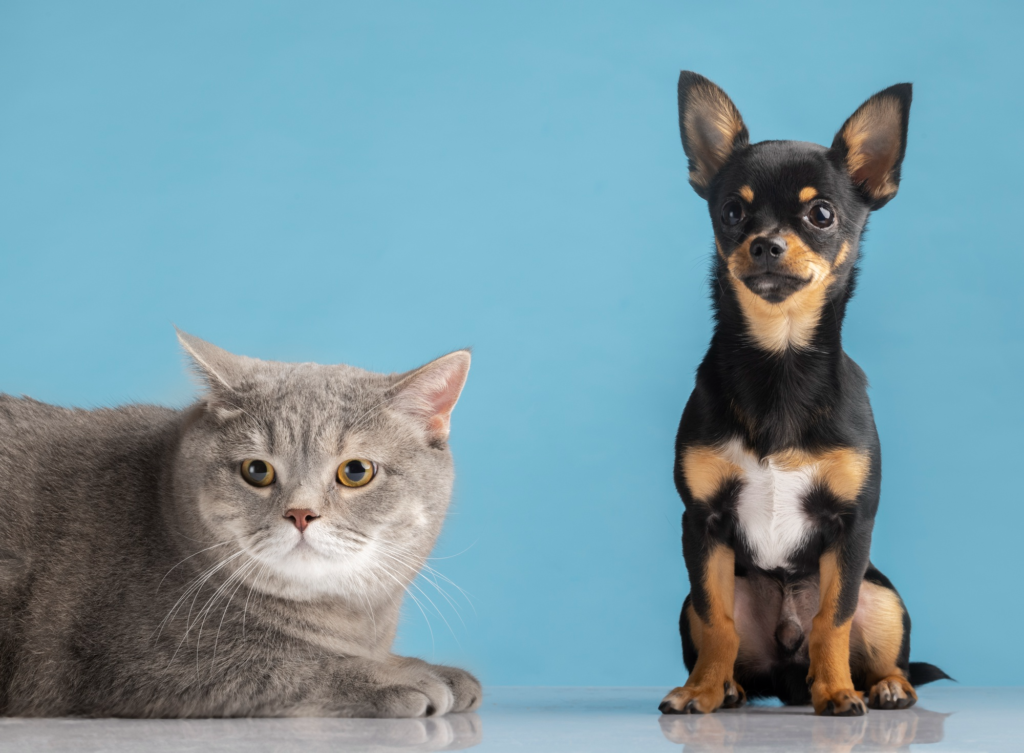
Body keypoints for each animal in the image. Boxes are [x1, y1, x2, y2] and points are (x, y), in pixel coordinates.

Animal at [0, 331, 479, 717]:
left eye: (356, 471)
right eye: (257, 470)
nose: (301, 513)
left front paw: (432, 669)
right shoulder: (143, 661)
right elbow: (293, 664)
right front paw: (399, 677)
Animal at [659, 73, 946, 717]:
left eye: (821, 214)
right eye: (732, 211)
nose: (766, 243)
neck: (780, 359)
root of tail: (787, 681)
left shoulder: (851, 527)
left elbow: (831, 623)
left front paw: (838, 692)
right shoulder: (702, 526)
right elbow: (717, 623)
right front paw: (701, 692)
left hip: (882, 593)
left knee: (871, 647)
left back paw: (883, 686)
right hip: (693, 601)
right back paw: (730, 688)